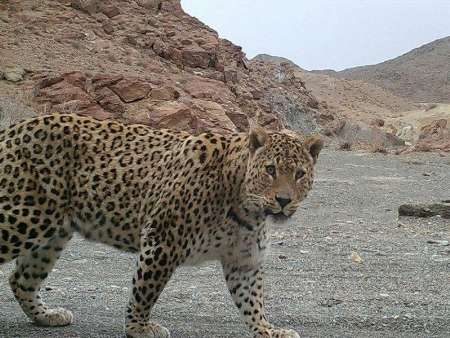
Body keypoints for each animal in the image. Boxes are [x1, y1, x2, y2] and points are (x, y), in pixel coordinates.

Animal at [0, 113, 324, 338]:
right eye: (270, 170)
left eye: (299, 174)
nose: (283, 200)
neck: (246, 206)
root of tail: (12, 128)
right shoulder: (162, 240)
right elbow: (145, 290)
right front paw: (138, 328)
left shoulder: (243, 260)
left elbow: (252, 300)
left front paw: (268, 330)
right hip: (23, 217)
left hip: (52, 233)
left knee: (21, 279)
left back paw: (46, 316)